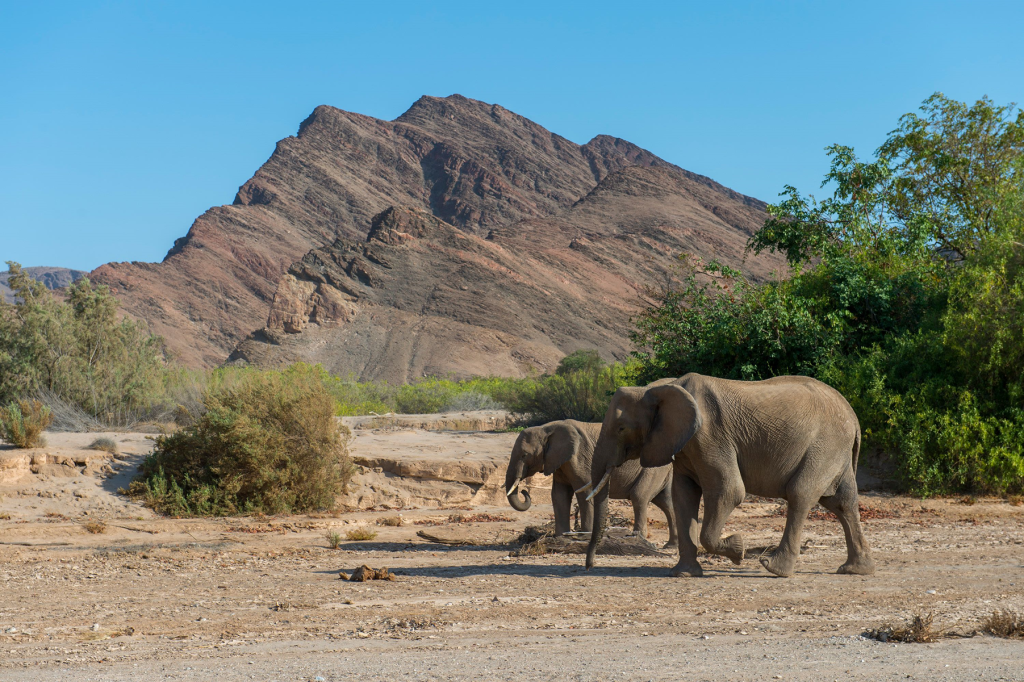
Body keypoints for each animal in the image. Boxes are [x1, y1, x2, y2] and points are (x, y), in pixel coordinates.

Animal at [505, 417, 679, 544]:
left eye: (524, 455)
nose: (524, 491)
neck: (546, 428)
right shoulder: (559, 462)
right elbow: (559, 496)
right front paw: (560, 539)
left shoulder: (580, 458)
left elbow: (585, 493)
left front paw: (585, 536)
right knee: (667, 502)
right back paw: (671, 546)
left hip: (652, 467)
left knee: (639, 497)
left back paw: (639, 539)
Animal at [585, 374, 872, 577]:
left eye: (621, 428)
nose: (589, 566)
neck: (660, 388)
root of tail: (854, 417)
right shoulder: (685, 445)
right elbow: (683, 496)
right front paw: (683, 574)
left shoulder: (710, 437)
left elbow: (729, 491)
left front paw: (738, 549)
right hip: (835, 451)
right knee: (842, 503)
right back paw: (855, 570)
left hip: (824, 446)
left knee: (800, 494)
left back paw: (774, 568)